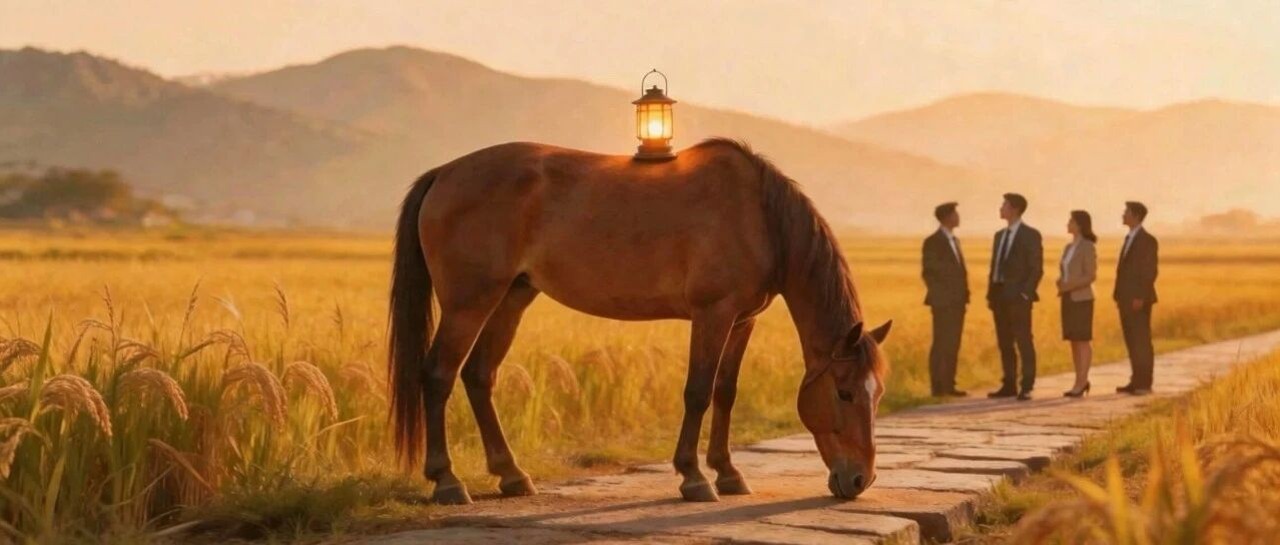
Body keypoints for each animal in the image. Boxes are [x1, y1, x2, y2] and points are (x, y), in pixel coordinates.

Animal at [388, 138, 892, 505]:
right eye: (844, 392)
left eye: (878, 393)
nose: (860, 480)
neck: (759, 216)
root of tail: (444, 174)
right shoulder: (713, 314)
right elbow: (698, 393)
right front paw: (693, 477)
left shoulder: (742, 321)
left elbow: (725, 393)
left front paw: (728, 473)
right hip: (468, 304)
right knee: (438, 375)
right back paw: (448, 481)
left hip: (512, 297)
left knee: (479, 376)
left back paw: (512, 475)